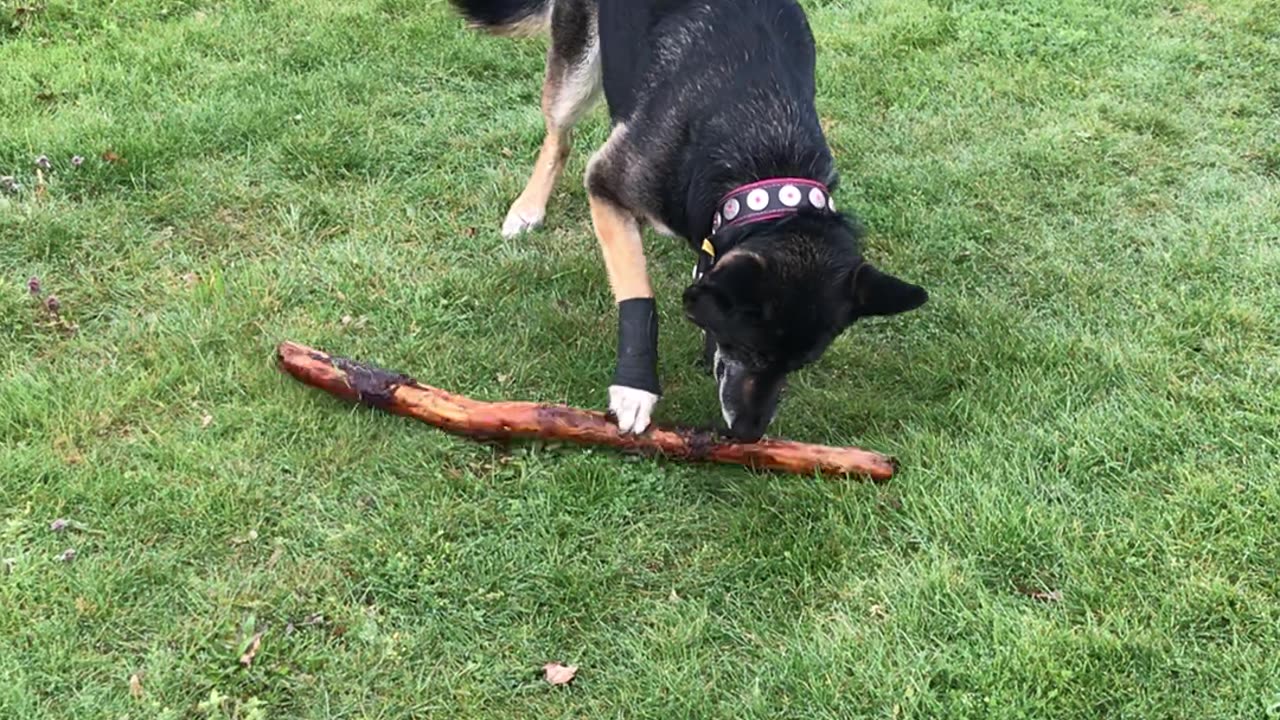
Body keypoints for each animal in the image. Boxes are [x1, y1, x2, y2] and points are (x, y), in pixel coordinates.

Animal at [450, 0, 931, 440]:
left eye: (799, 364)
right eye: (750, 350)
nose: (748, 435)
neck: (762, 157)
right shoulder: (606, 186)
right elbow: (637, 291)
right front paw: (636, 388)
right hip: (577, 68)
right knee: (558, 135)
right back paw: (528, 207)